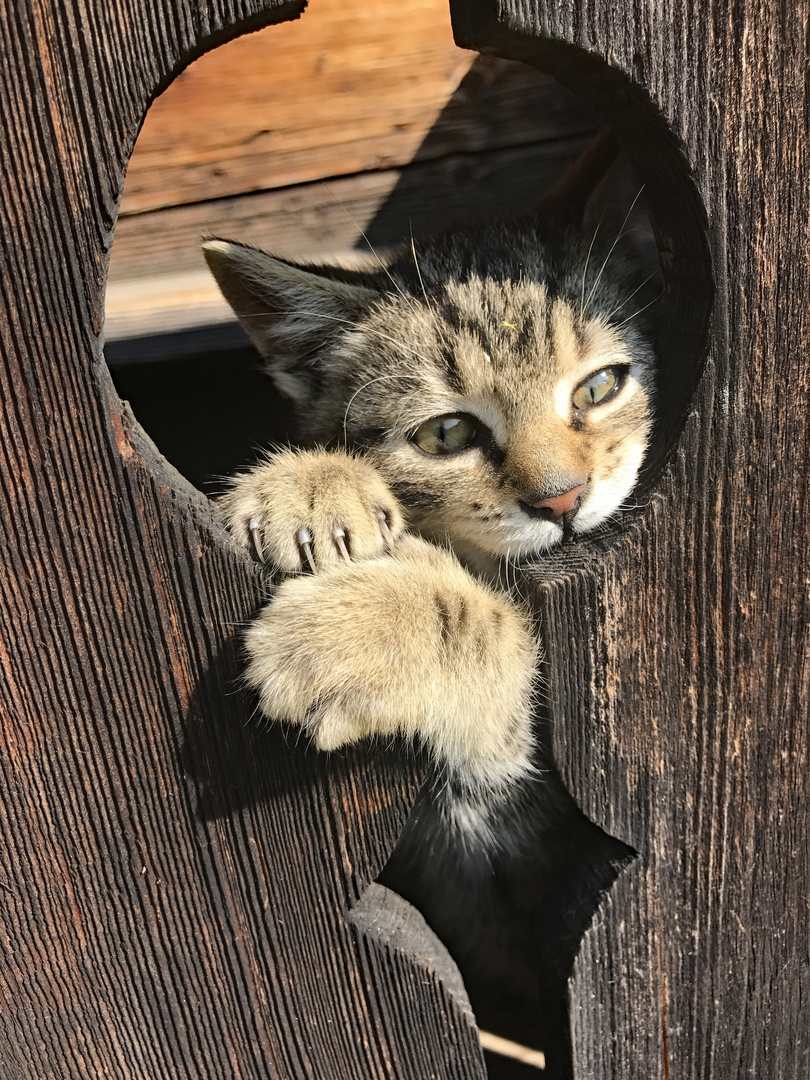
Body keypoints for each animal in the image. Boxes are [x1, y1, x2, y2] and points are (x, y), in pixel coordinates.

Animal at [203, 130, 660, 1075]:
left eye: (599, 388)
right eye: (446, 433)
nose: (562, 500)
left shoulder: (545, 792)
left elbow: (508, 640)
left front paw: (348, 631)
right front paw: (311, 484)